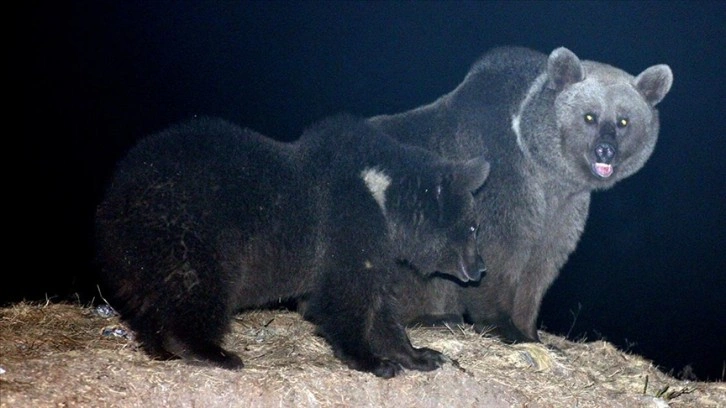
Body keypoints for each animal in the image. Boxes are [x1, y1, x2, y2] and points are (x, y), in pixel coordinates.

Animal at [92, 113, 490, 378]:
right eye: (473, 227)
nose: (482, 268)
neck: (386, 204)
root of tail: (113, 198)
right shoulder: (348, 224)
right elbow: (346, 297)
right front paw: (374, 361)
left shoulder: (376, 247)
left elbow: (381, 305)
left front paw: (423, 355)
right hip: (189, 231)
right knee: (197, 287)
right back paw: (212, 353)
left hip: (138, 254)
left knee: (150, 297)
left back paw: (160, 348)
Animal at [370, 46, 676, 342]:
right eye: (590, 116)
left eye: (624, 121)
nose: (605, 150)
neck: (543, 166)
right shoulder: (501, 179)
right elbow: (499, 249)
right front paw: (502, 325)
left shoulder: (564, 208)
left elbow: (541, 264)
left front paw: (530, 331)